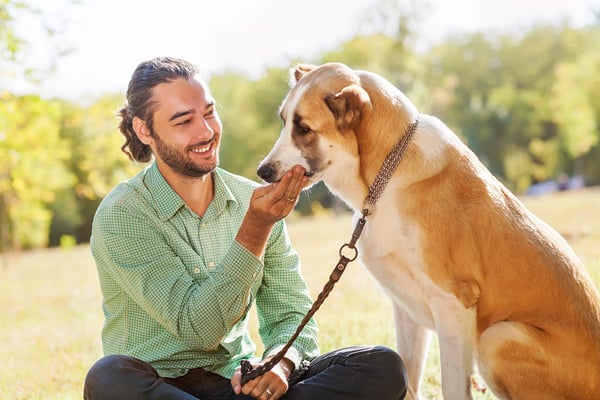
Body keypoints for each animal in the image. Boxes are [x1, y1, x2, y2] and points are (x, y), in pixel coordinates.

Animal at [256, 61, 600, 398]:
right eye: (284, 121)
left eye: (304, 129)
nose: (263, 171)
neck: (385, 177)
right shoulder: (406, 309)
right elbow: (408, 379)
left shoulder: (453, 304)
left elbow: (453, 388)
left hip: (497, 337)